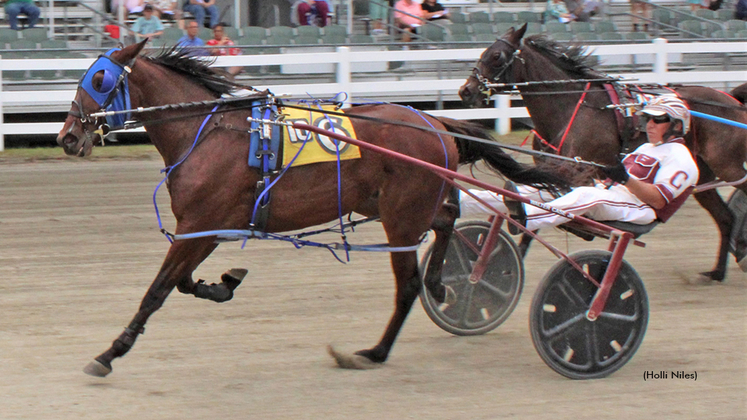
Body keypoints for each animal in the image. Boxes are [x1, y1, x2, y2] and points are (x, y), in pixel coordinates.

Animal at [58, 41, 568, 376]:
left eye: (100, 80)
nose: (67, 137)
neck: (206, 134)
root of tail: (435, 121)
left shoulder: (199, 223)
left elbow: (158, 290)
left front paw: (109, 353)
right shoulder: (204, 229)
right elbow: (183, 284)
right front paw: (226, 282)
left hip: (402, 218)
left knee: (408, 284)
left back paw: (373, 352)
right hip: (395, 205)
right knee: (445, 221)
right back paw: (442, 284)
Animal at [462, 26, 747, 282]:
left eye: (496, 56)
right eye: (483, 51)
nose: (466, 90)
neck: (570, 108)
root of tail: (732, 101)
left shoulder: (577, 171)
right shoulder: (551, 173)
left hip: (729, 168)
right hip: (704, 177)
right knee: (725, 217)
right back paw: (717, 271)